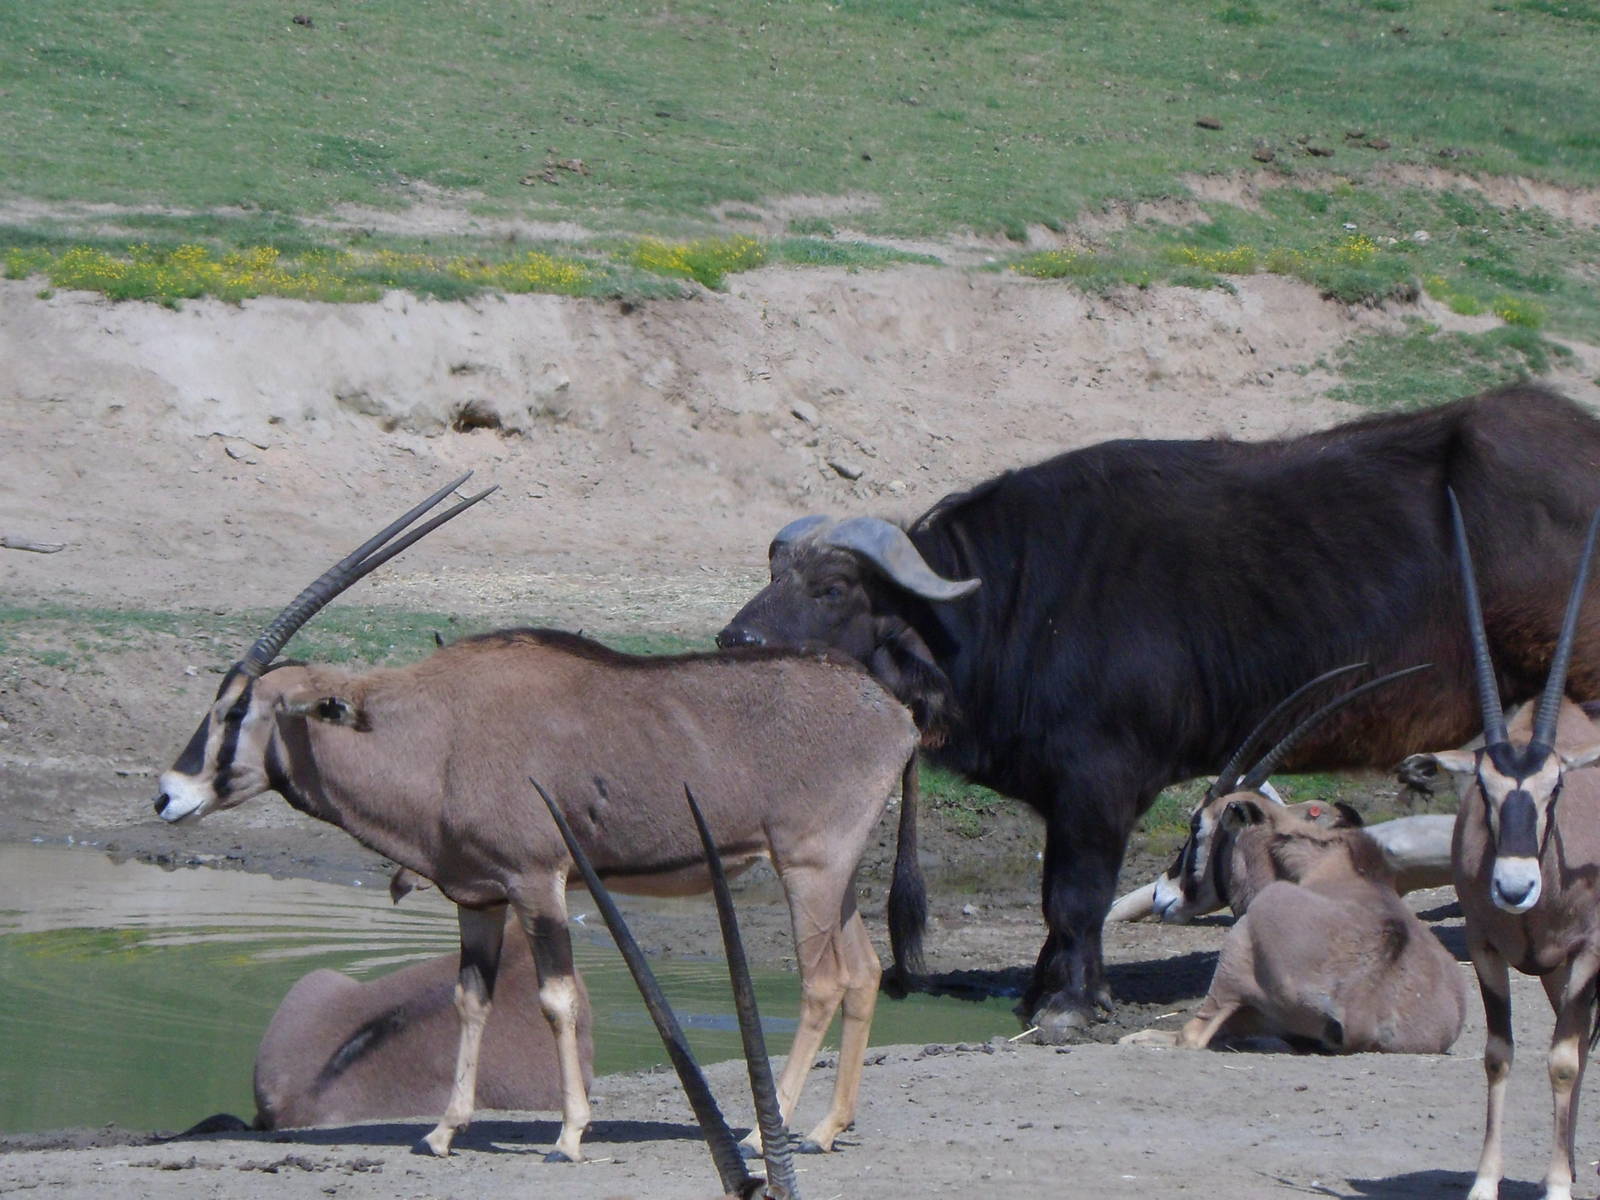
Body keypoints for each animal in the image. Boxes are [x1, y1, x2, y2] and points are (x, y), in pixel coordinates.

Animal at [718, 384, 1600, 1040]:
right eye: (774, 573)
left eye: (832, 587)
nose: (734, 638)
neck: (1017, 603)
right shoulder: (1066, 793)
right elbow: (1060, 903)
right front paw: (1045, 990)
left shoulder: (1101, 782)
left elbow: (1074, 896)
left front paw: (1071, 1004)